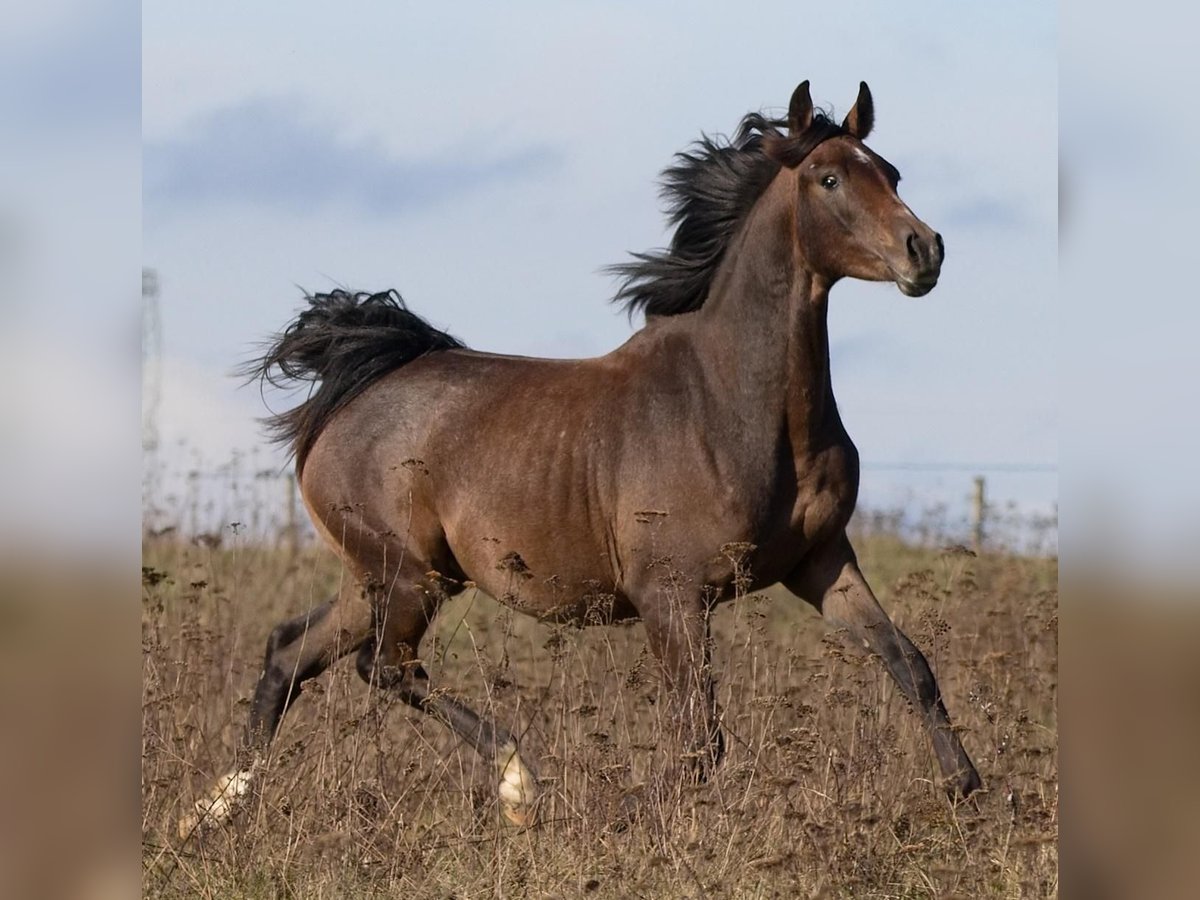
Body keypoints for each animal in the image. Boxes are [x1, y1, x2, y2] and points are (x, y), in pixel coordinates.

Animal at [180, 81, 984, 835]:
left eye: (891, 170)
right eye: (829, 179)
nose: (925, 250)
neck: (733, 403)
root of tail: (350, 393)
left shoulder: (821, 562)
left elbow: (909, 664)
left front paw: (968, 794)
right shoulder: (672, 596)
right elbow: (700, 740)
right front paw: (628, 815)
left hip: (381, 578)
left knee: (291, 653)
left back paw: (212, 812)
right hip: (407, 576)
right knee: (381, 666)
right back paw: (517, 782)